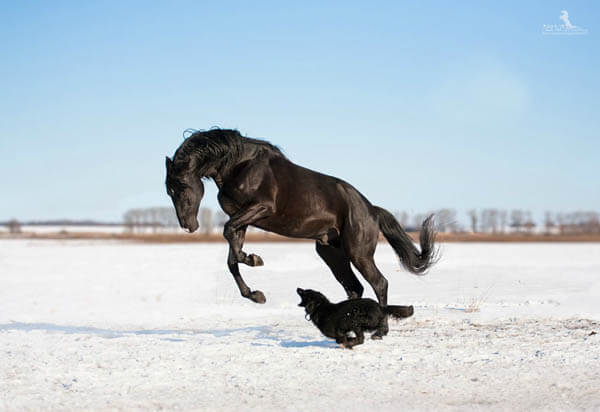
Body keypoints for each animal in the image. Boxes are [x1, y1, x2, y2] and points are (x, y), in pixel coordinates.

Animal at [166, 129, 438, 338]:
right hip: (332, 254)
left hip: (358, 252)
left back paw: (381, 331)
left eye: (182, 185)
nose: (188, 225)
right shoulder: (241, 219)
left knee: (379, 283)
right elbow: (231, 258)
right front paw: (256, 294)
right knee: (354, 288)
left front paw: (255, 260)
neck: (240, 166)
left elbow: (229, 238)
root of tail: (371, 209)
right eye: (169, 189)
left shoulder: (261, 208)